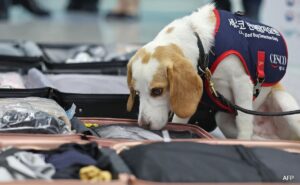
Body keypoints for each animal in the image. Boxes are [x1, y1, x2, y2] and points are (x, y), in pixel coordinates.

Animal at [126, 3, 300, 140]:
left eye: (157, 91)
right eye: (137, 93)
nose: (144, 125)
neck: (201, 43)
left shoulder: (242, 83)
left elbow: (244, 121)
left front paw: (243, 141)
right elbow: (179, 121)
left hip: (287, 109)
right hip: (223, 118)